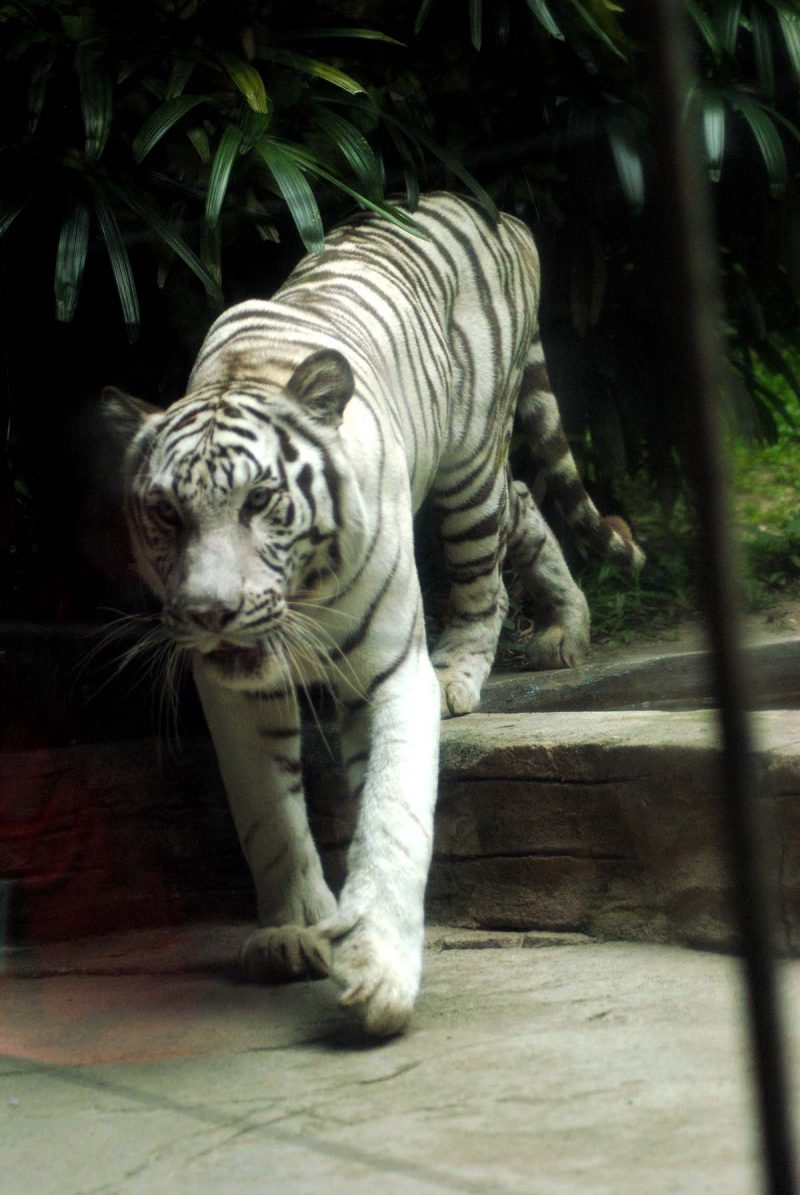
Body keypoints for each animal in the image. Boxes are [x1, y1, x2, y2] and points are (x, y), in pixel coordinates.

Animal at [104, 195, 640, 1037]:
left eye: (260, 500)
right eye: (164, 514)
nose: (212, 612)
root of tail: (488, 206)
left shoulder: (389, 671)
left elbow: (391, 813)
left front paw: (380, 966)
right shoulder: (234, 693)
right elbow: (267, 812)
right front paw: (293, 930)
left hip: (466, 469)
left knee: (487, 563)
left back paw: (466, 671)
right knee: (525, 498)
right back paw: (566, 626)